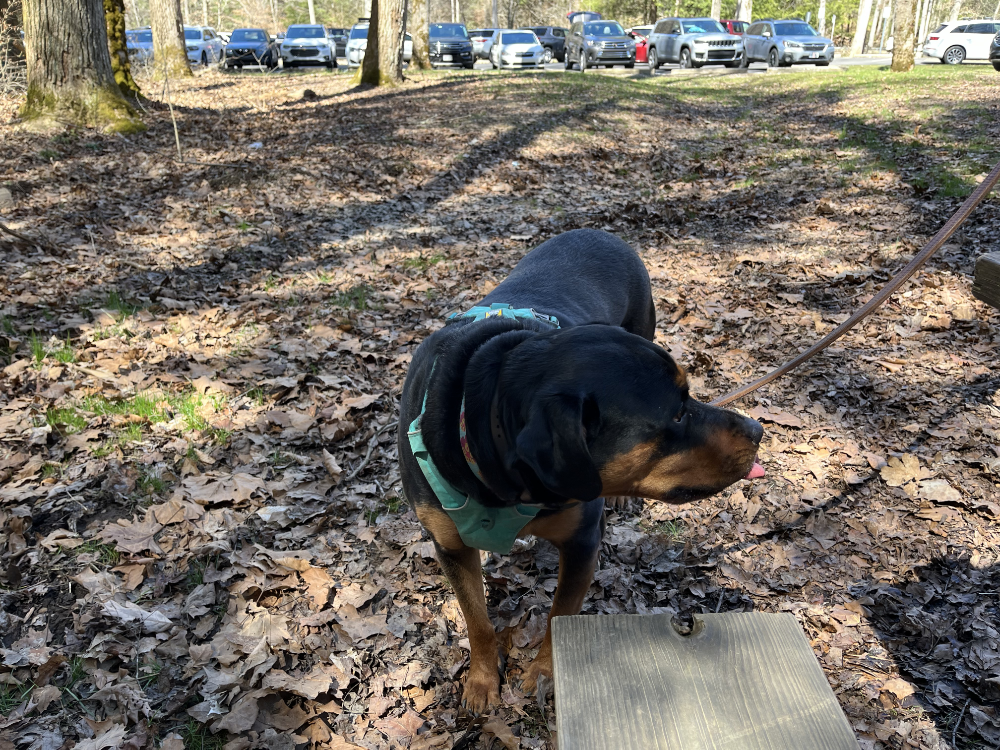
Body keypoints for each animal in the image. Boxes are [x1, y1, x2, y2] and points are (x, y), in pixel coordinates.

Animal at [394, 231, 760, 716]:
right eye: (678, 413)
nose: (758, 430)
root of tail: (602, 232)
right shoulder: (450, 546)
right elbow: (477, 620)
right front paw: (482, 681)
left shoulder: (583, 541)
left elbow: (558, 616)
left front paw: (545, 675)